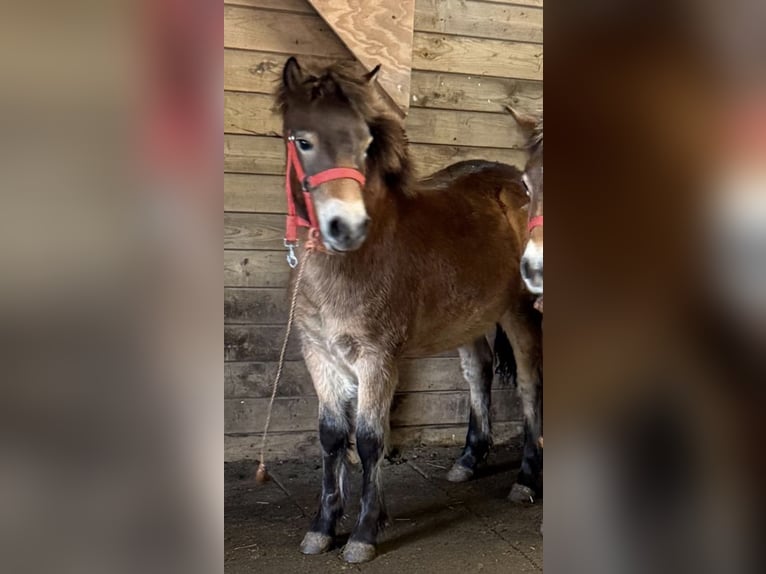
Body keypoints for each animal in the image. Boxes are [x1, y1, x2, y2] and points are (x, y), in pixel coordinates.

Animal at [276, 57, 542, 563]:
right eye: (303, 141)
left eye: (365, 144)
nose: (345, 227)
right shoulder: (319, 354)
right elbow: (331, 435)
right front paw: (322, 527)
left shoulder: (377, 358)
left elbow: (369, 438)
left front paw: (364, 533)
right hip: (470, 317)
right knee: (478, 373)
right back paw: (468, 459)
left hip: (519, 312)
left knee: (529, 384)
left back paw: (526, 479)